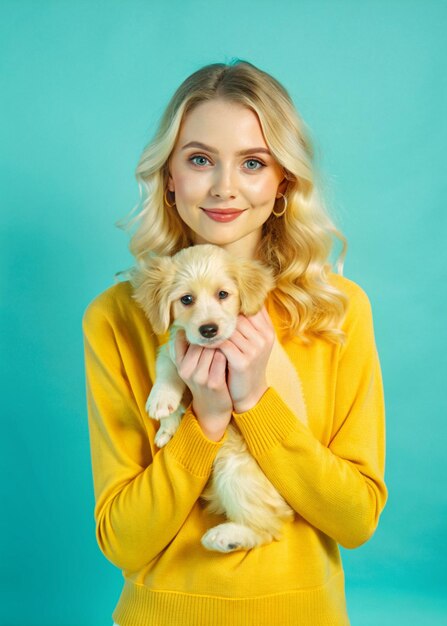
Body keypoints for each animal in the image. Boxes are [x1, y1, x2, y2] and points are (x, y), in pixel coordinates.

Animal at [131, 244, 296, 552]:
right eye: (186, 299)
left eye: (223, 294)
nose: (208, 330)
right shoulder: (177, 344)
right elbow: (166, 367)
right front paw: (164, 413)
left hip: (235, 471)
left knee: (268, 528)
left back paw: (227, 537)